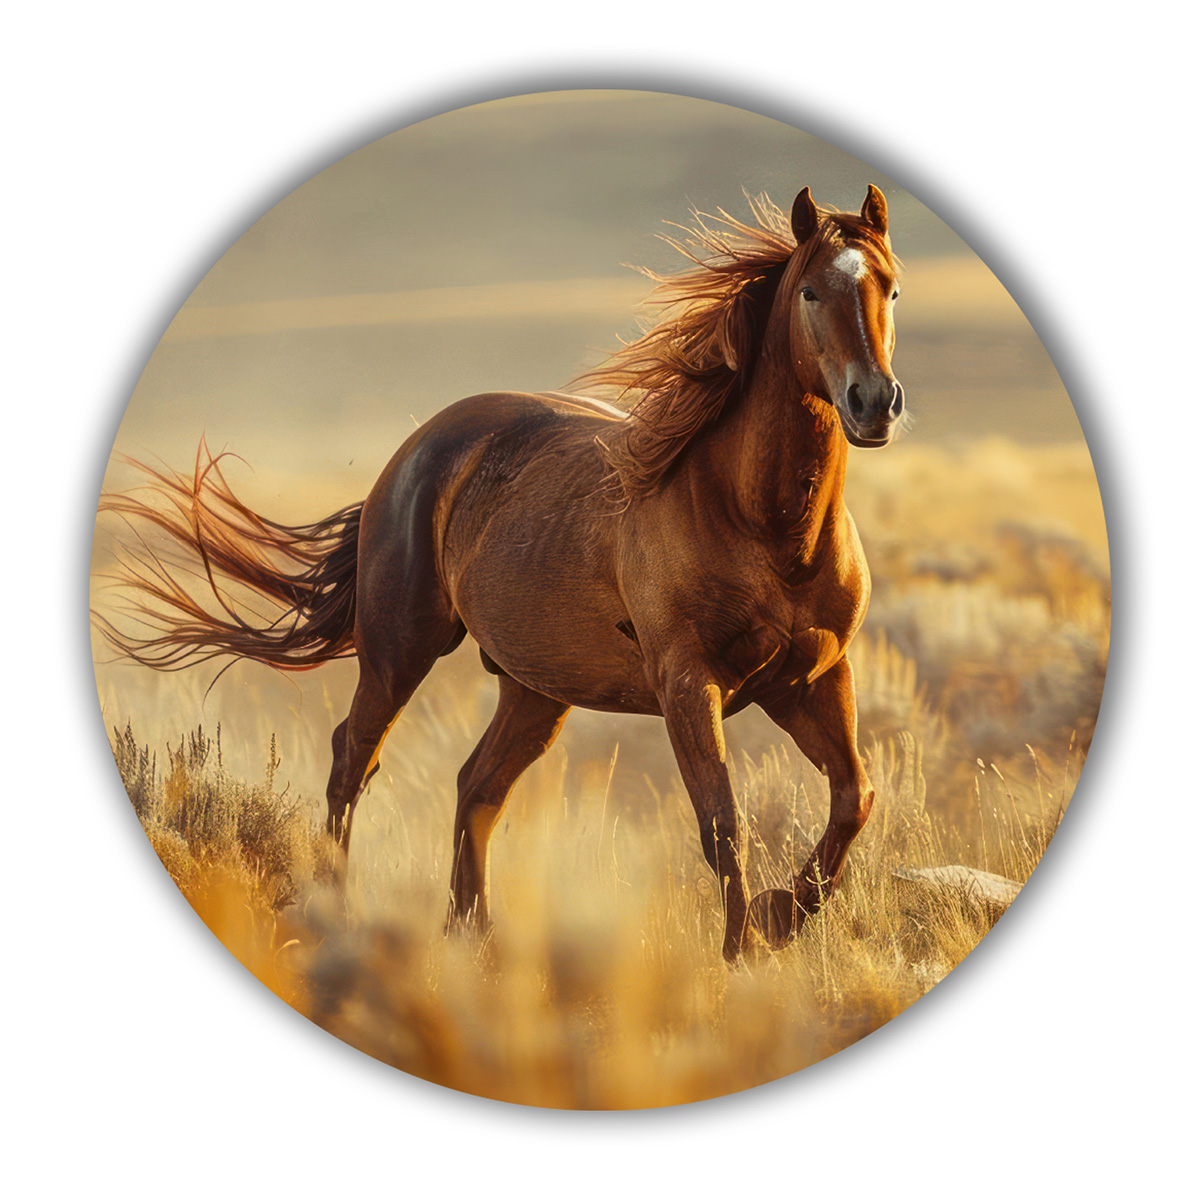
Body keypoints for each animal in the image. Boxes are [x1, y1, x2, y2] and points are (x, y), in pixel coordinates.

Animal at [97, 185, 905, 961]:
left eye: (891, 288)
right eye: (810, 292)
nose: (873, 402)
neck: (760, 524)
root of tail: (414, 451)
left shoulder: (812, 680)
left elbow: (854, 798)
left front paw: (779, 917)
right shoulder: (688, 684)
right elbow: (722, 821)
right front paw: (742, 952)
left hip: (534, 689)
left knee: (476, 785)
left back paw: (473, 931)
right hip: (399, 652)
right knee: (353, 760)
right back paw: (336, 914)